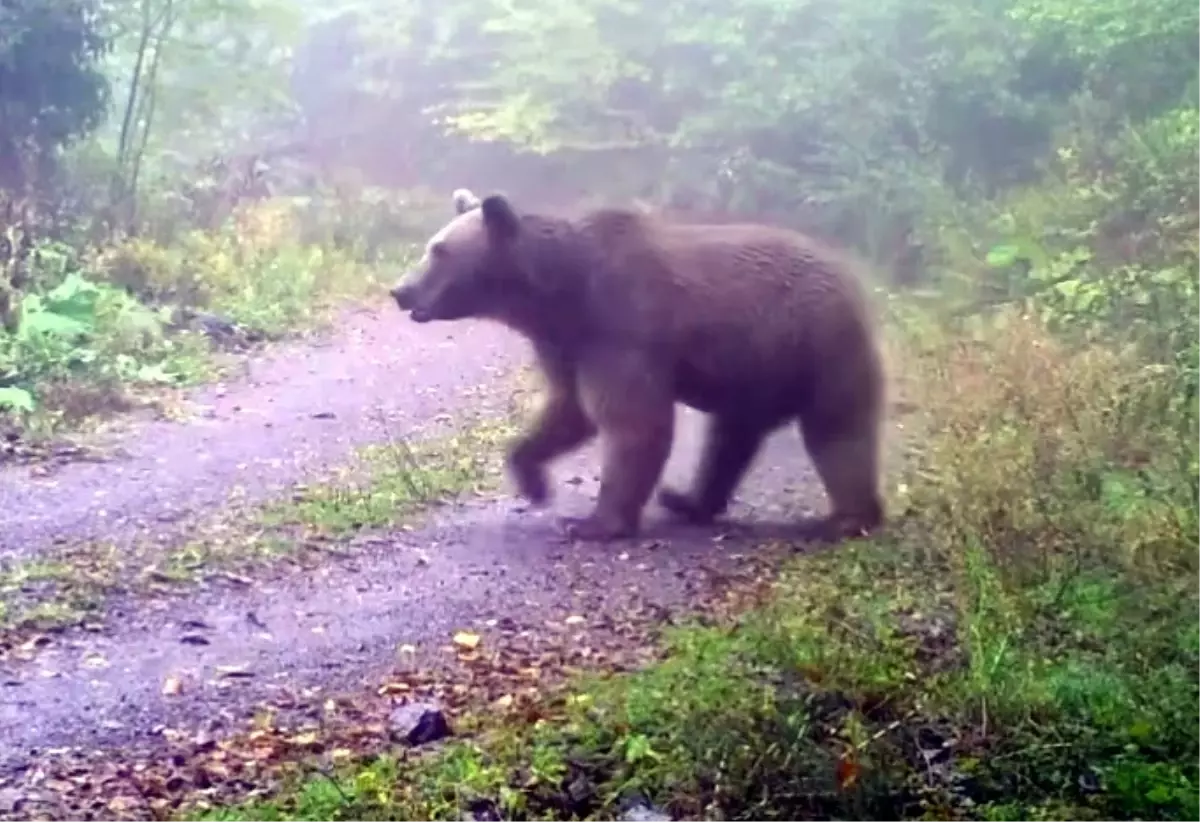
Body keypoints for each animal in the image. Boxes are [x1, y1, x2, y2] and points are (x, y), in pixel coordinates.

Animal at [388, 187, 888, 544]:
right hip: (756, 372)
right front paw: (533, 480)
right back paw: (688, 500)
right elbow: (569, 410)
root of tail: (853, 276)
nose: (401, 291)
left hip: (819, 346)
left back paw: (850, 517)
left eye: (439, 251)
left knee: (838, 432)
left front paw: (591, 523)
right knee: (730, 439)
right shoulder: (567, 344)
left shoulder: (621, 326)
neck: (560, 294)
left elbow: (632, 421)